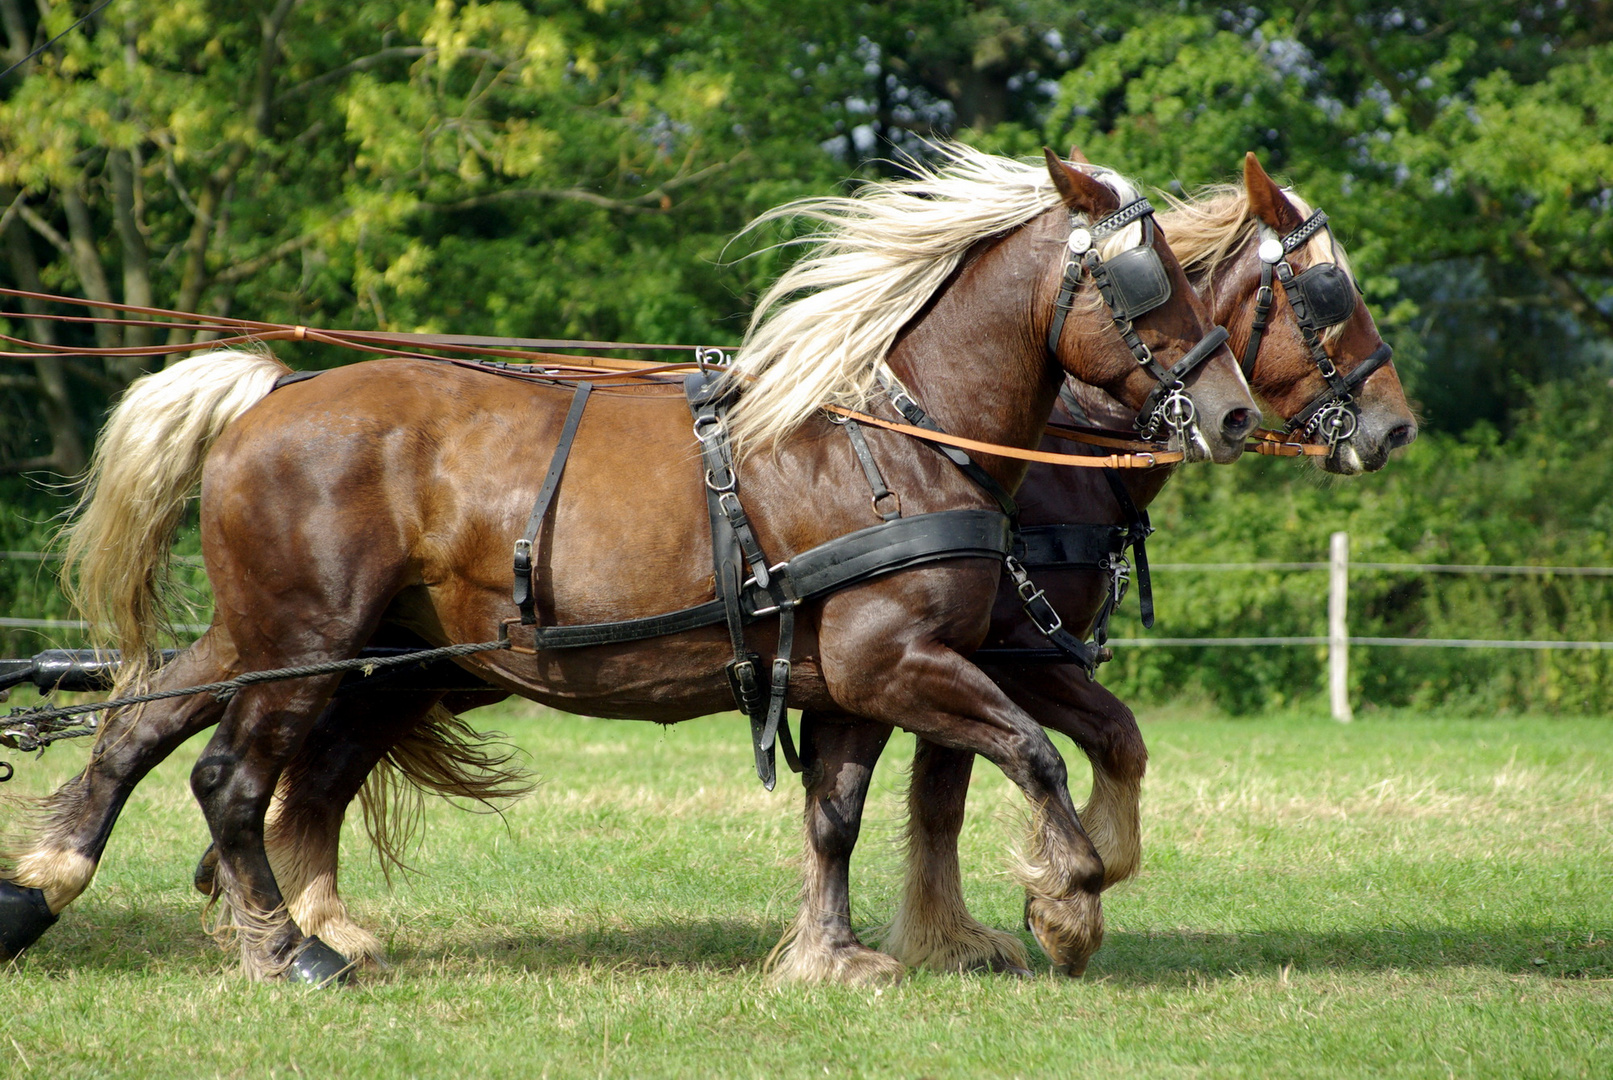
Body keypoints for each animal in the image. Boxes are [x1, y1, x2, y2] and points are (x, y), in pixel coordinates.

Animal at [0, 148, 1258, 986]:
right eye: (1148, 281)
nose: (1235, 415)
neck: (890, 434)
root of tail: (267, 396)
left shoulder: (853, 679)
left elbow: (838, 815)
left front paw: (829, 955)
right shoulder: (898, 660)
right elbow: (1032, 751)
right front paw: (1068, 905)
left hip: (278, 634)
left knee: (143, 720)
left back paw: (45, 879)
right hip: (308, 645)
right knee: (231, 780)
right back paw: (285, 952)